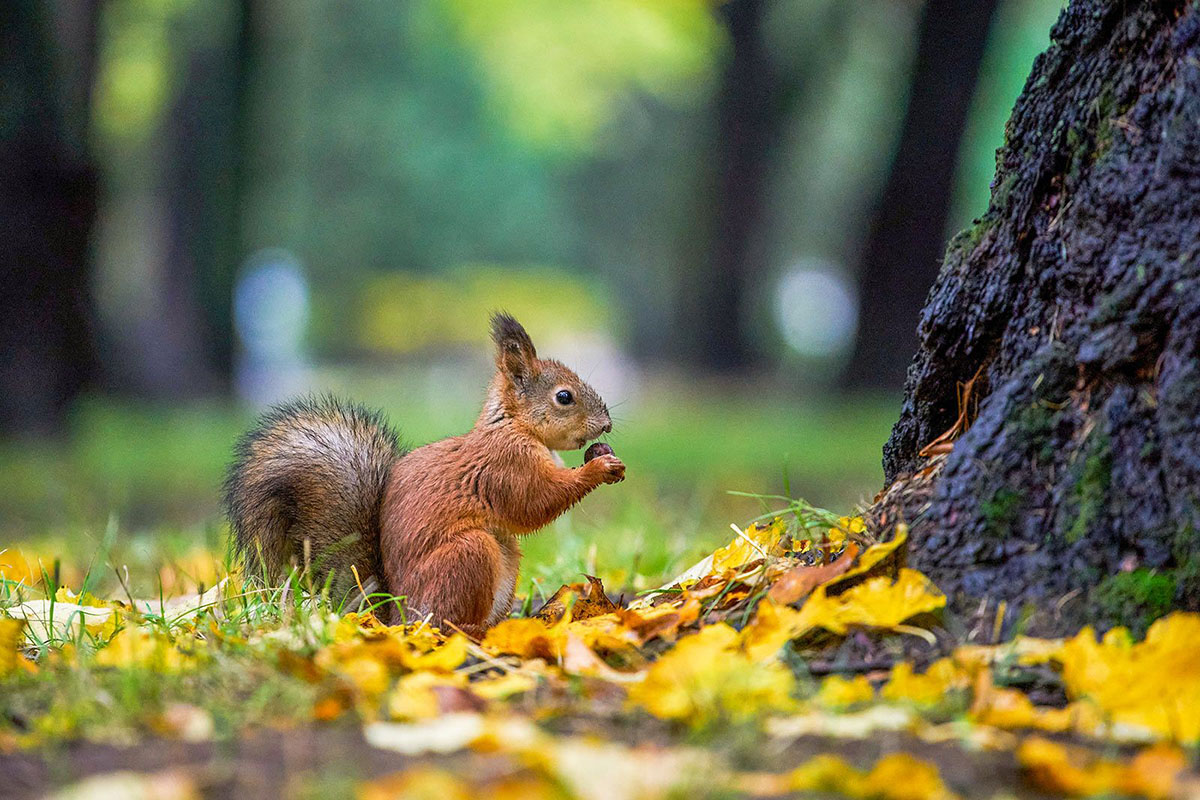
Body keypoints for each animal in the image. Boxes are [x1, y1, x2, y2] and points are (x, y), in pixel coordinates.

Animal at [223, 314, 628, 638]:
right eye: (564, 397)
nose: (607, 424)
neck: (514, 426)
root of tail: (397, 615)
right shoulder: (506, 466)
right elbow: (535, 503)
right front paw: (599, 468)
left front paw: (601, 453)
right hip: (468, 553)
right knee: (444, 623)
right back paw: (472, 631)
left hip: (504, 555)